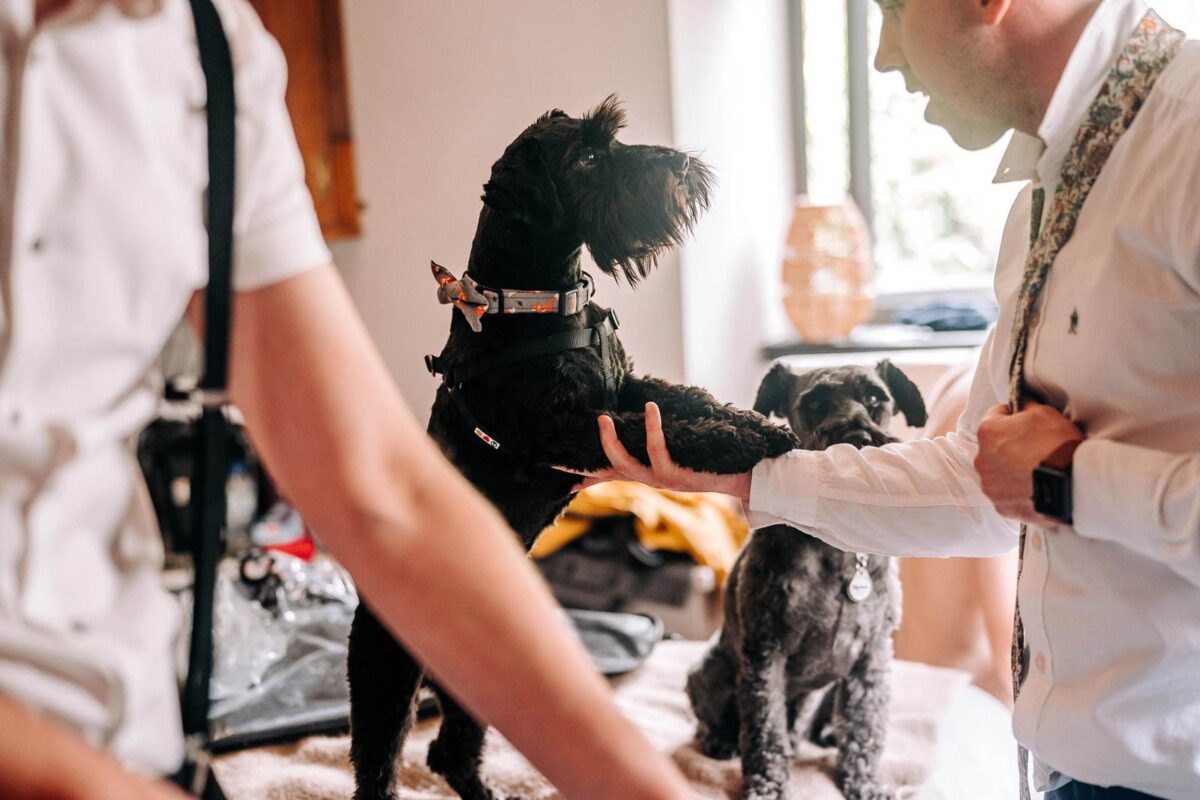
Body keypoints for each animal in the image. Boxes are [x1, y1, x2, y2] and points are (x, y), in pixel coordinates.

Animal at [686, 362, 926, 800]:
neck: (837, 551)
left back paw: (823, 733)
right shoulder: (765, 652)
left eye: (875, 398)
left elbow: (865, 727)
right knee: (718, 718)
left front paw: (865, 783)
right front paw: (766, 786)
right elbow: (765, 729)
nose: (859, 438)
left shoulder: (871, 658)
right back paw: (719, 740)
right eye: (814, 404)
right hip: (709, 669)